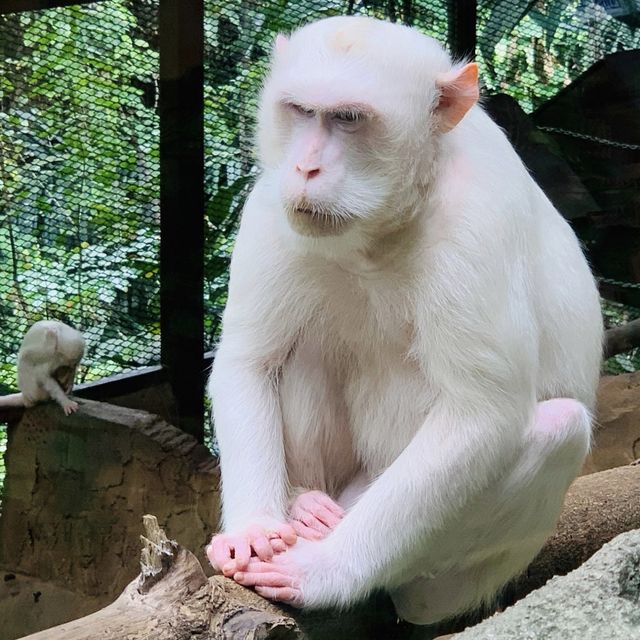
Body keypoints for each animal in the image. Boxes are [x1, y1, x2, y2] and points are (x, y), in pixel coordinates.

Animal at [206, 16, 604, 624]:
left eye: (348, 118)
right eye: (300, 110)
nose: (305, 167)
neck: (381, 227)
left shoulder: (476, 221)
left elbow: (479, 414)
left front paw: (324, 573)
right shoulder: (272, 206)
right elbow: (250, 361)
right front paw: (252, 530)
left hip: (458, 566)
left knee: (558, 428)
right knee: (303, 351)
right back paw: (304, 505)